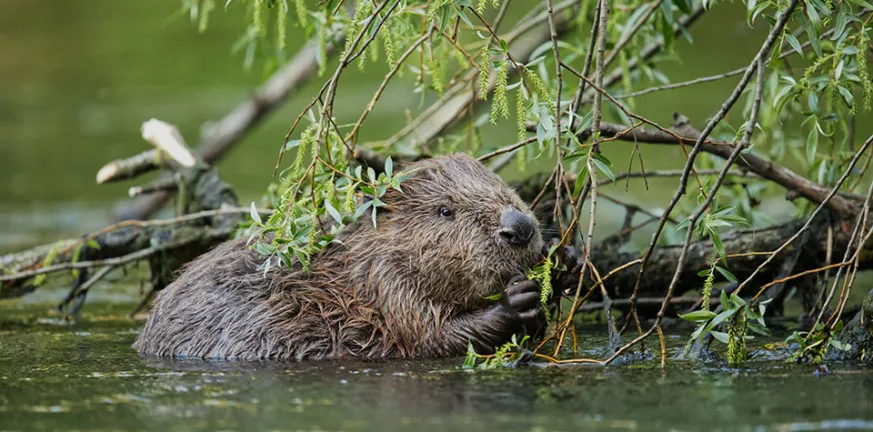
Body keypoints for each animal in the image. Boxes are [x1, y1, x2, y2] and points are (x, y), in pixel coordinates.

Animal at [135, 154, 544, 360]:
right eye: (445, 210)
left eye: (505, 186)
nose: (519, 226)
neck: (353, 267)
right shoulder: (387, 287)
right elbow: (431, 337)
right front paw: (516, 299)